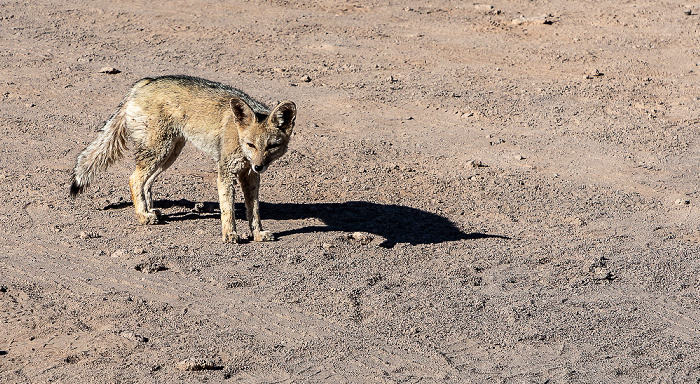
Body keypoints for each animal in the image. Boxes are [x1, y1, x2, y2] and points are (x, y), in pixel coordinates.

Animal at [71, 75, 298, 242]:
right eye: (251, 145)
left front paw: (258, 233)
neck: (238, 137)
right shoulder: (226, 172)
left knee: (146, 182)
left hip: (169, 155)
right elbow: (228, 208)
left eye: (272, 146)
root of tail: (144, 82)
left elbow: (255, 208)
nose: (259, 166)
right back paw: (143, 216)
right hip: (159, 151)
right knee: (134, 179)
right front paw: (230, 235)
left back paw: (150, 211)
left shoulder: (249, 176)